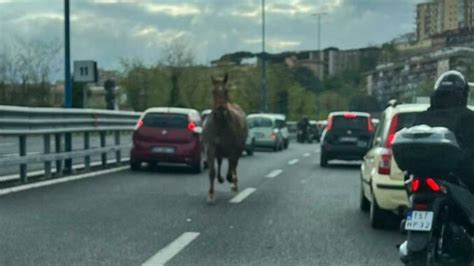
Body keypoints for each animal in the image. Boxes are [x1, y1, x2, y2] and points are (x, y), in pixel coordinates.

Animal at [203, 72, 248, 202]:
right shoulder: (211, 147)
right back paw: (221, 178)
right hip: (220, 151)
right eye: (213, 91)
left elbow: (231, 168)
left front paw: (231, 180)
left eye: (226, 91)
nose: (221, 111)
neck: (220, 124)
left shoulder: (232, 149)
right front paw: (211, 193)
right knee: (220, 163)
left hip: (237, 149)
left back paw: (234, 183)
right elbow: (212, 171)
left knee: (234, 165)